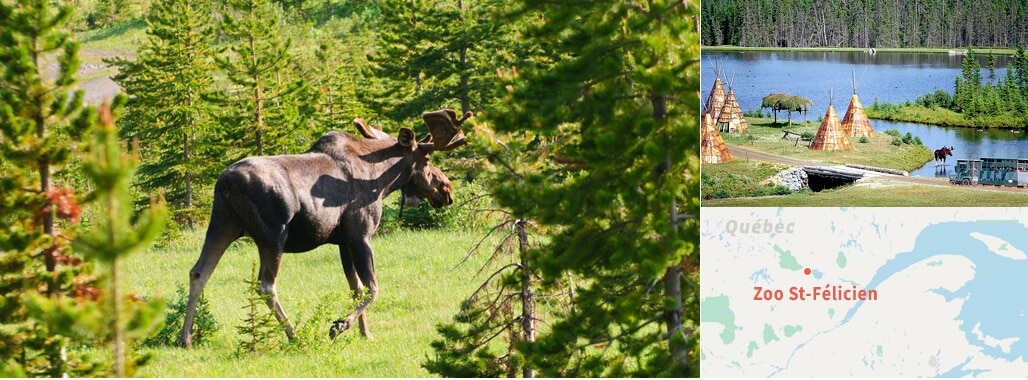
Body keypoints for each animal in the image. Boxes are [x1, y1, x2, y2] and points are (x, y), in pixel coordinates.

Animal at [180, 107, 470, 347]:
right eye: (427, 159)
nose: (446, 190)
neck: (382, 181)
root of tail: (224, 184)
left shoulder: (342, 240)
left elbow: (355, 288)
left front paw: (365, 333)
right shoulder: (360, 234)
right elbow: (373, 287)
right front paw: (340, 325)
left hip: (222, 223)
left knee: (199, 272)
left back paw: (186, 338)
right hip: (272, 235)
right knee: (265, 285)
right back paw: (294, 335)